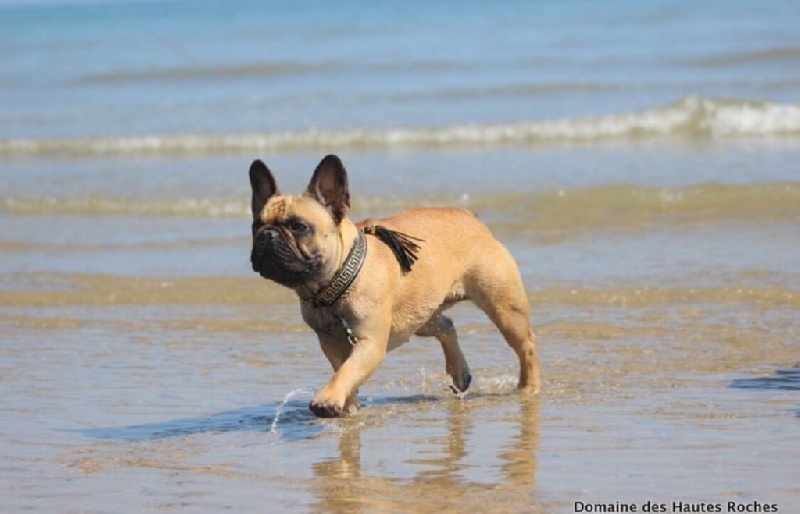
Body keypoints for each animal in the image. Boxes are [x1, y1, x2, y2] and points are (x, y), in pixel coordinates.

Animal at [249, 154, 539, 417]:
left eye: (298, 226)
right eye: (255, 225)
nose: (267, 235)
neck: (330, 287)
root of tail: (472, 218)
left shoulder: (369, 343)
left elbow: (348, 371)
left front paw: (328, 400)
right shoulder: (330, 343)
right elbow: (344, 372)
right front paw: (348, 407)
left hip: (503, 308)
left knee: (527, 346)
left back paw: (528, 388)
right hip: (417, 314)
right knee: (446, 326)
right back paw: (459, 373)